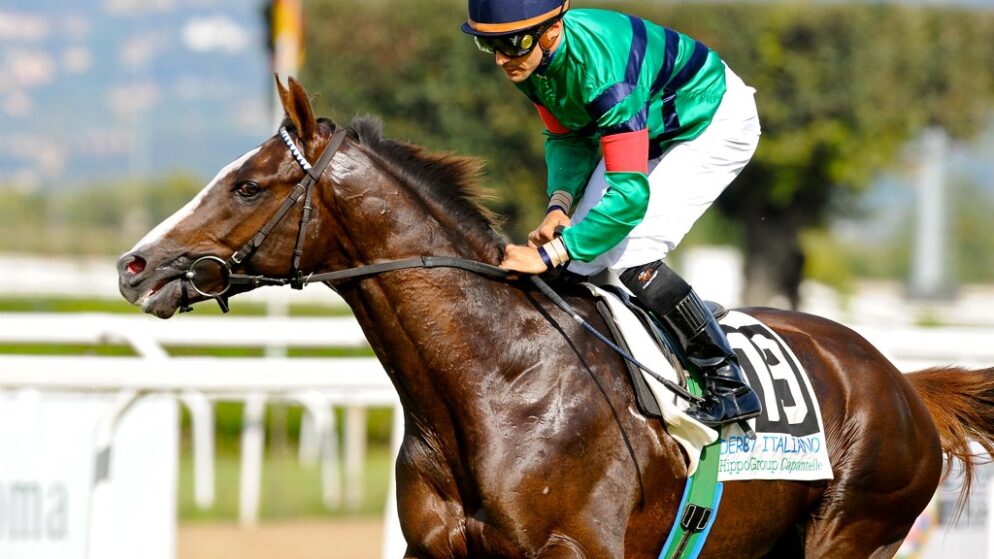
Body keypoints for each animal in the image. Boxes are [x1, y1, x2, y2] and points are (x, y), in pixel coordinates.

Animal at [117, 77, 994, 558]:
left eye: (247, 186)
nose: (134, 265)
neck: (495, 381)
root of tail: (902, 381)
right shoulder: (434, 548)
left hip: (852, 530)